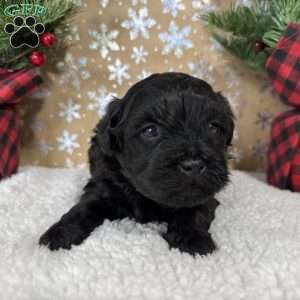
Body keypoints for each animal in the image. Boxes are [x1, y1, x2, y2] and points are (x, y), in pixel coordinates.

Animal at [38, 72, 233, 255]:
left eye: (213, 127)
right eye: (150, 130)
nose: (193, 165)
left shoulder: (205, 194)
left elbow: (195, 210)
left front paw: (192, 240)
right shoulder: (103, 184)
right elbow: (84, 207)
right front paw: (60, 234)